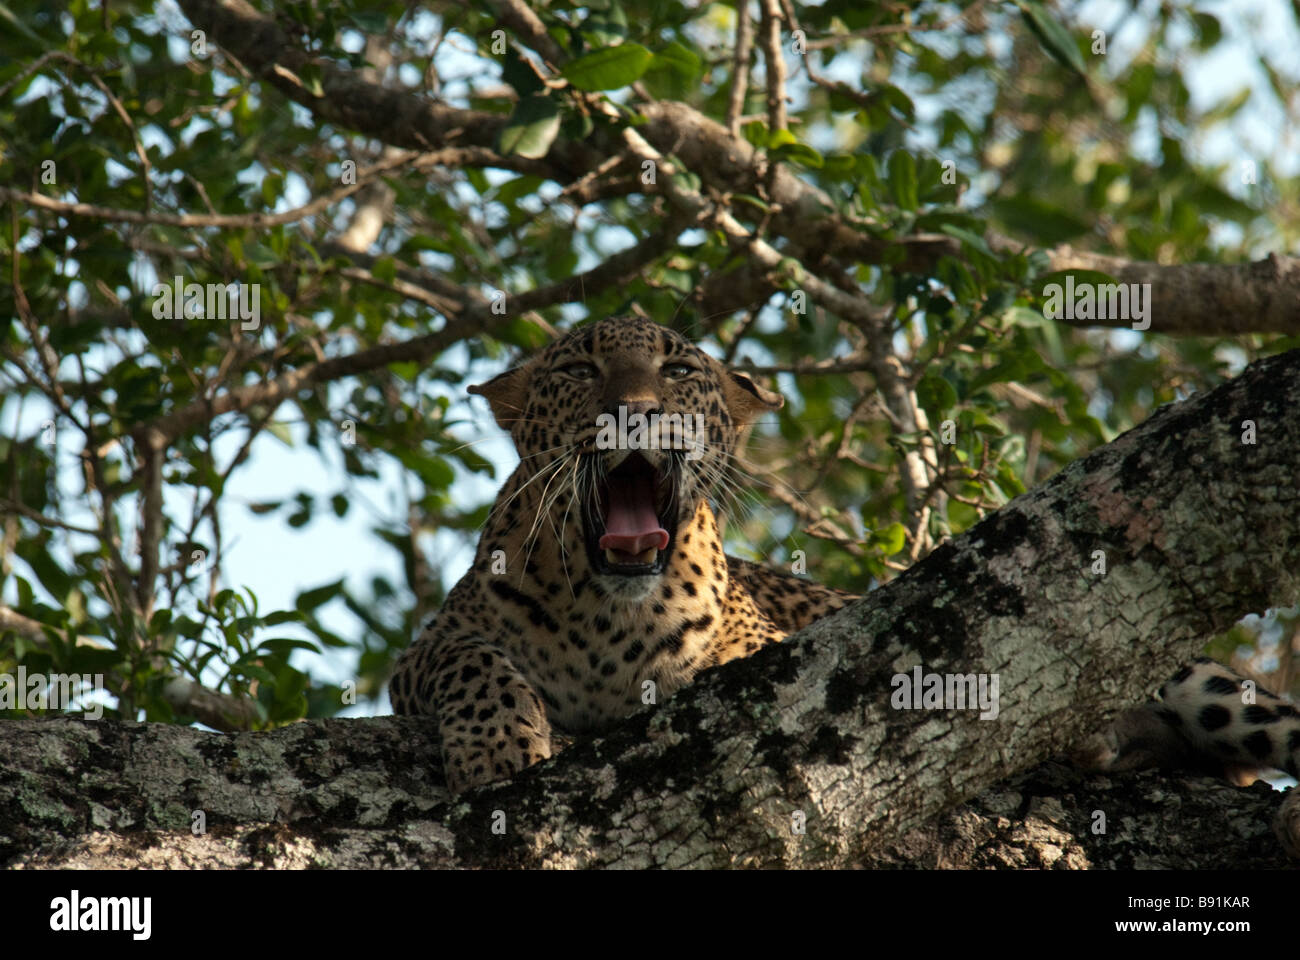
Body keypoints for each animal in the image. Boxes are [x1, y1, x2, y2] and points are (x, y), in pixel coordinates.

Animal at [389, 314, 1299, 858]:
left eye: (678, 369)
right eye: (579, 369)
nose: (637, 412)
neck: (608, 613)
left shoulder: (769, 647)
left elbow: (742, 665)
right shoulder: (426, 651)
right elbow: (475, 661)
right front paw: (500, 746)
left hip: (1207, 683)